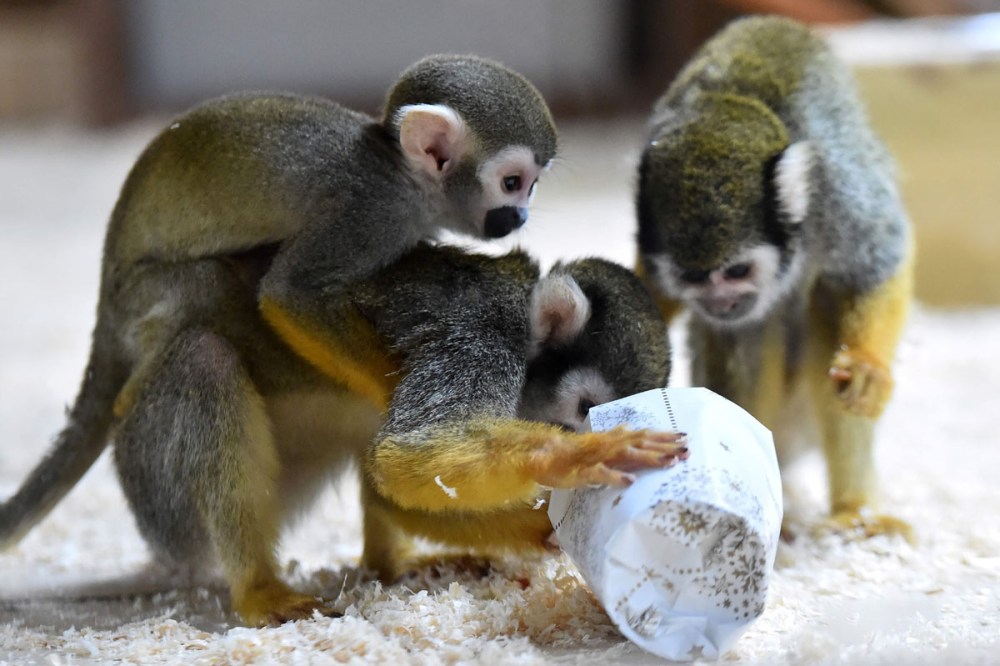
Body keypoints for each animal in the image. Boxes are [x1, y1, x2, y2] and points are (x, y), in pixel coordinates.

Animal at [640, 15, 916, 540]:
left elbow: (877, 260)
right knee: (747, 332)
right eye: (695, 278)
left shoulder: (834, 183)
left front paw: (868, 366)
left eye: (737, 272)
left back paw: (854, 510)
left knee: (824, 302)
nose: (721, 303)